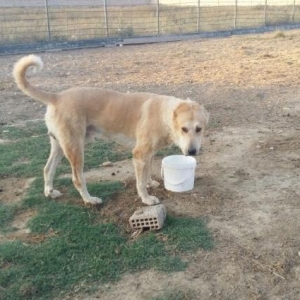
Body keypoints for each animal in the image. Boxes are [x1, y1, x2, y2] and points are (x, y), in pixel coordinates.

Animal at [13, 55, 209, 206]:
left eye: (199, 129)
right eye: (184, 129)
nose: (192, 152)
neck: (165, 114)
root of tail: (57, 97)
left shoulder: (149, 154)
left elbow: (146, 174)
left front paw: (150, 183)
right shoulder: (139, 154)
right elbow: (139, 182)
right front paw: (146, 199)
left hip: (59, 146)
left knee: (47, 169)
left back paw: (50, 192)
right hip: (76, 149)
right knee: (77, 179)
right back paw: (90, 200)